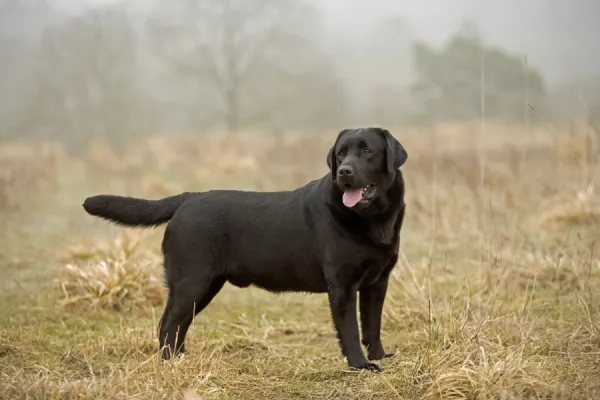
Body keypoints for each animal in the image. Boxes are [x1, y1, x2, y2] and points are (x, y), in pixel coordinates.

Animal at [82, 127, 408, 372]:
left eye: (367, 151)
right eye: (341, 153)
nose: (344, 171)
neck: (372, 220)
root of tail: (187, 198)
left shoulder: (377, 282)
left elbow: (372, 325)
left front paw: (379, 355)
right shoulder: (342, 285)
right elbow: (350, 329)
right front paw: (360, 365)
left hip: (204, 286)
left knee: (177, 323)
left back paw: (181, 359)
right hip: (193, 281)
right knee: (169, 323)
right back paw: (170, 364)